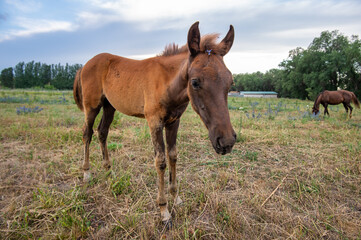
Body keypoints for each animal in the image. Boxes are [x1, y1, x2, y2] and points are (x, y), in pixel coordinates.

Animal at [73, 22, 236, 225]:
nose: (226, 141)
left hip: (110, 107)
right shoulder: (154, 122)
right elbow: (160, 161)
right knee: (87, 133)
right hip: (92, 106)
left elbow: (173, 155)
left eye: (230, 81)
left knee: (102, 133)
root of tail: (85, 64)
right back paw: (87, 173)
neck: (166, 83)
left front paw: (176, 198)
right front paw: (164, 211)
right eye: (195, 82)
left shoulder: (174, 122)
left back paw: (109, 172)